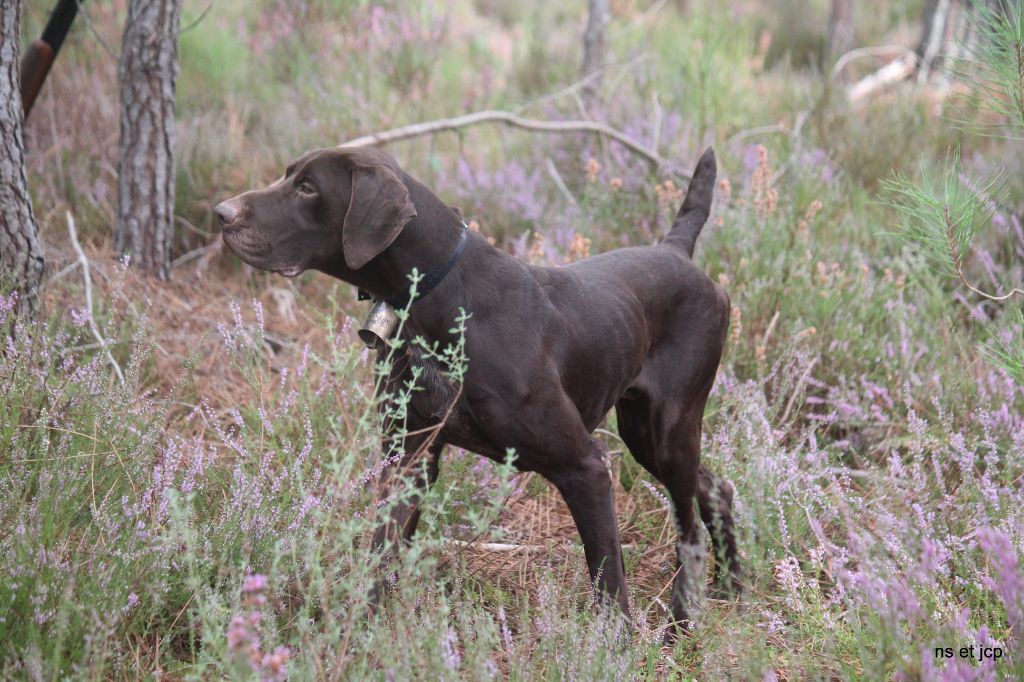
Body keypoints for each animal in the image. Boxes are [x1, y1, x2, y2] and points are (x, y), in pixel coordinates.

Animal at [218, 146, 737, 634]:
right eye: (289, 176)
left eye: (307, 188)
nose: (222, 213)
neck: (439, 299)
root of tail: (676, 250)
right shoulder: (408, 457)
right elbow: (381, 554)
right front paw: (361, 633)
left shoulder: (584, 467)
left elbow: (608, 579)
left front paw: (615, 650)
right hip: (647, 434)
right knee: (717, 488)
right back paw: (733, 587)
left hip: (665, 430)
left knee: (690, 533)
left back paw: (682, 623)